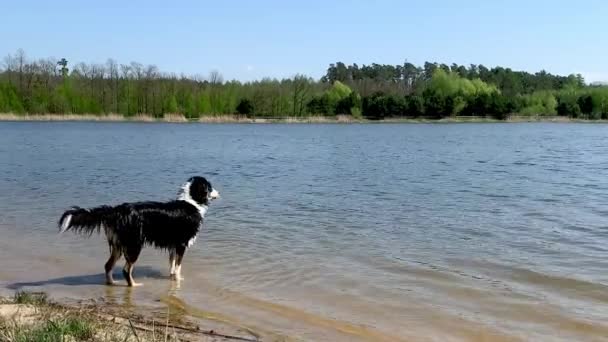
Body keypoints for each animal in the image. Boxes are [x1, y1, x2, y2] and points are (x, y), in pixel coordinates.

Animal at [58, 176, 220, 286]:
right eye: (210, 187)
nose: (219, 193)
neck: (192, 202)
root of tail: (117, 210)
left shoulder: (173, 245)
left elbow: (172, 264)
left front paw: (172, 276)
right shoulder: (181, 244)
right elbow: (178, 266)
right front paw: (178, 279)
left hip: (118, 245)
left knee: (108, 265)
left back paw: (112, 283)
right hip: (134, 244)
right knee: (126, 269)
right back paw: (134, 285)